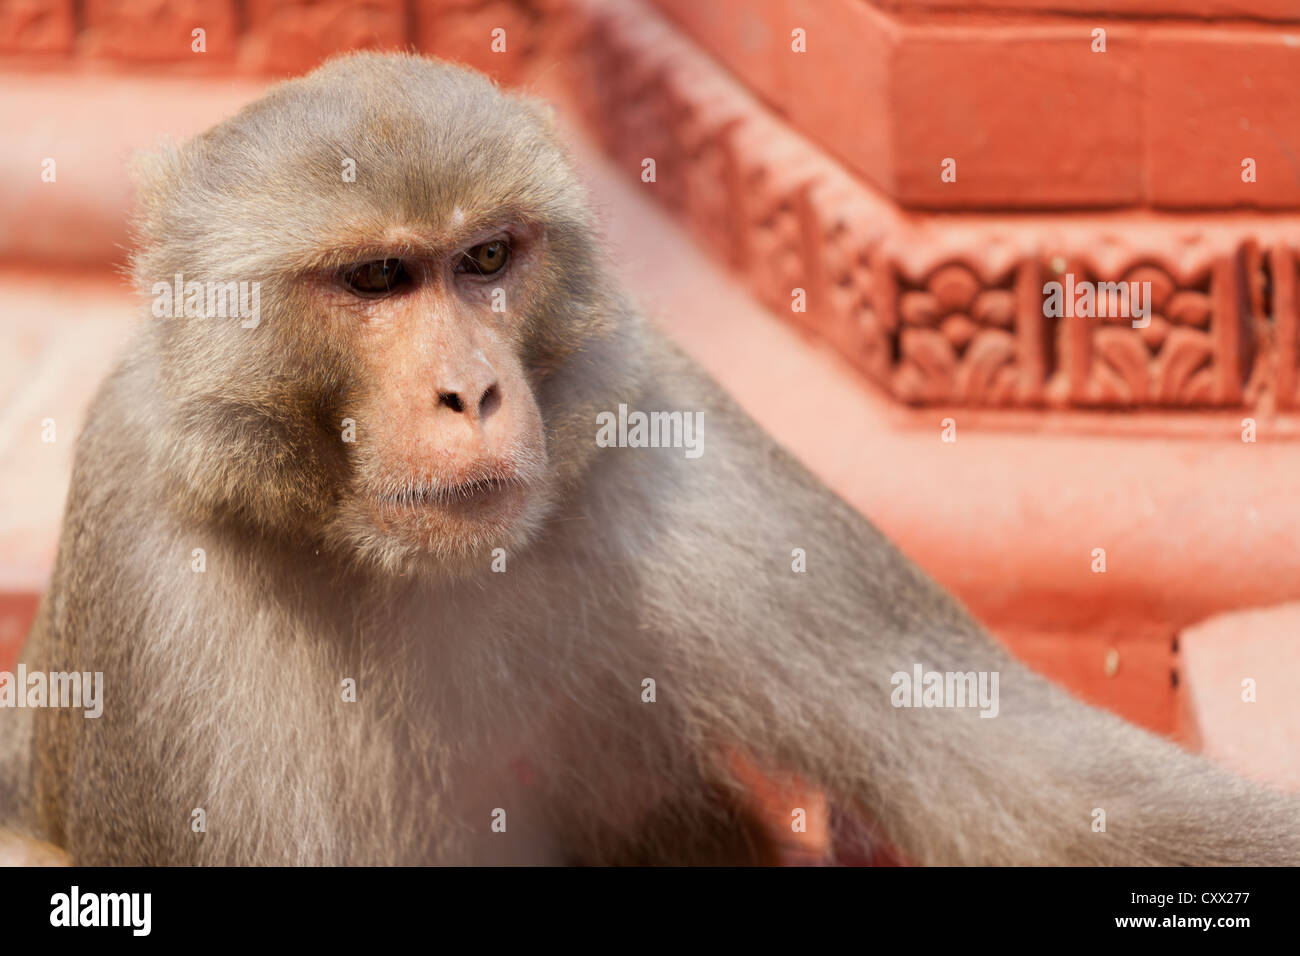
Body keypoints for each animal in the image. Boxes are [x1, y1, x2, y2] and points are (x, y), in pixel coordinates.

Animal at [0, 52, 1294, 868]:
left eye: (487, 257)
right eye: (375, 277)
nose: (472, 390)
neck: (400, 564)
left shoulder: (669, 446)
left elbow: (1046, 794)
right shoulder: (149, 548)